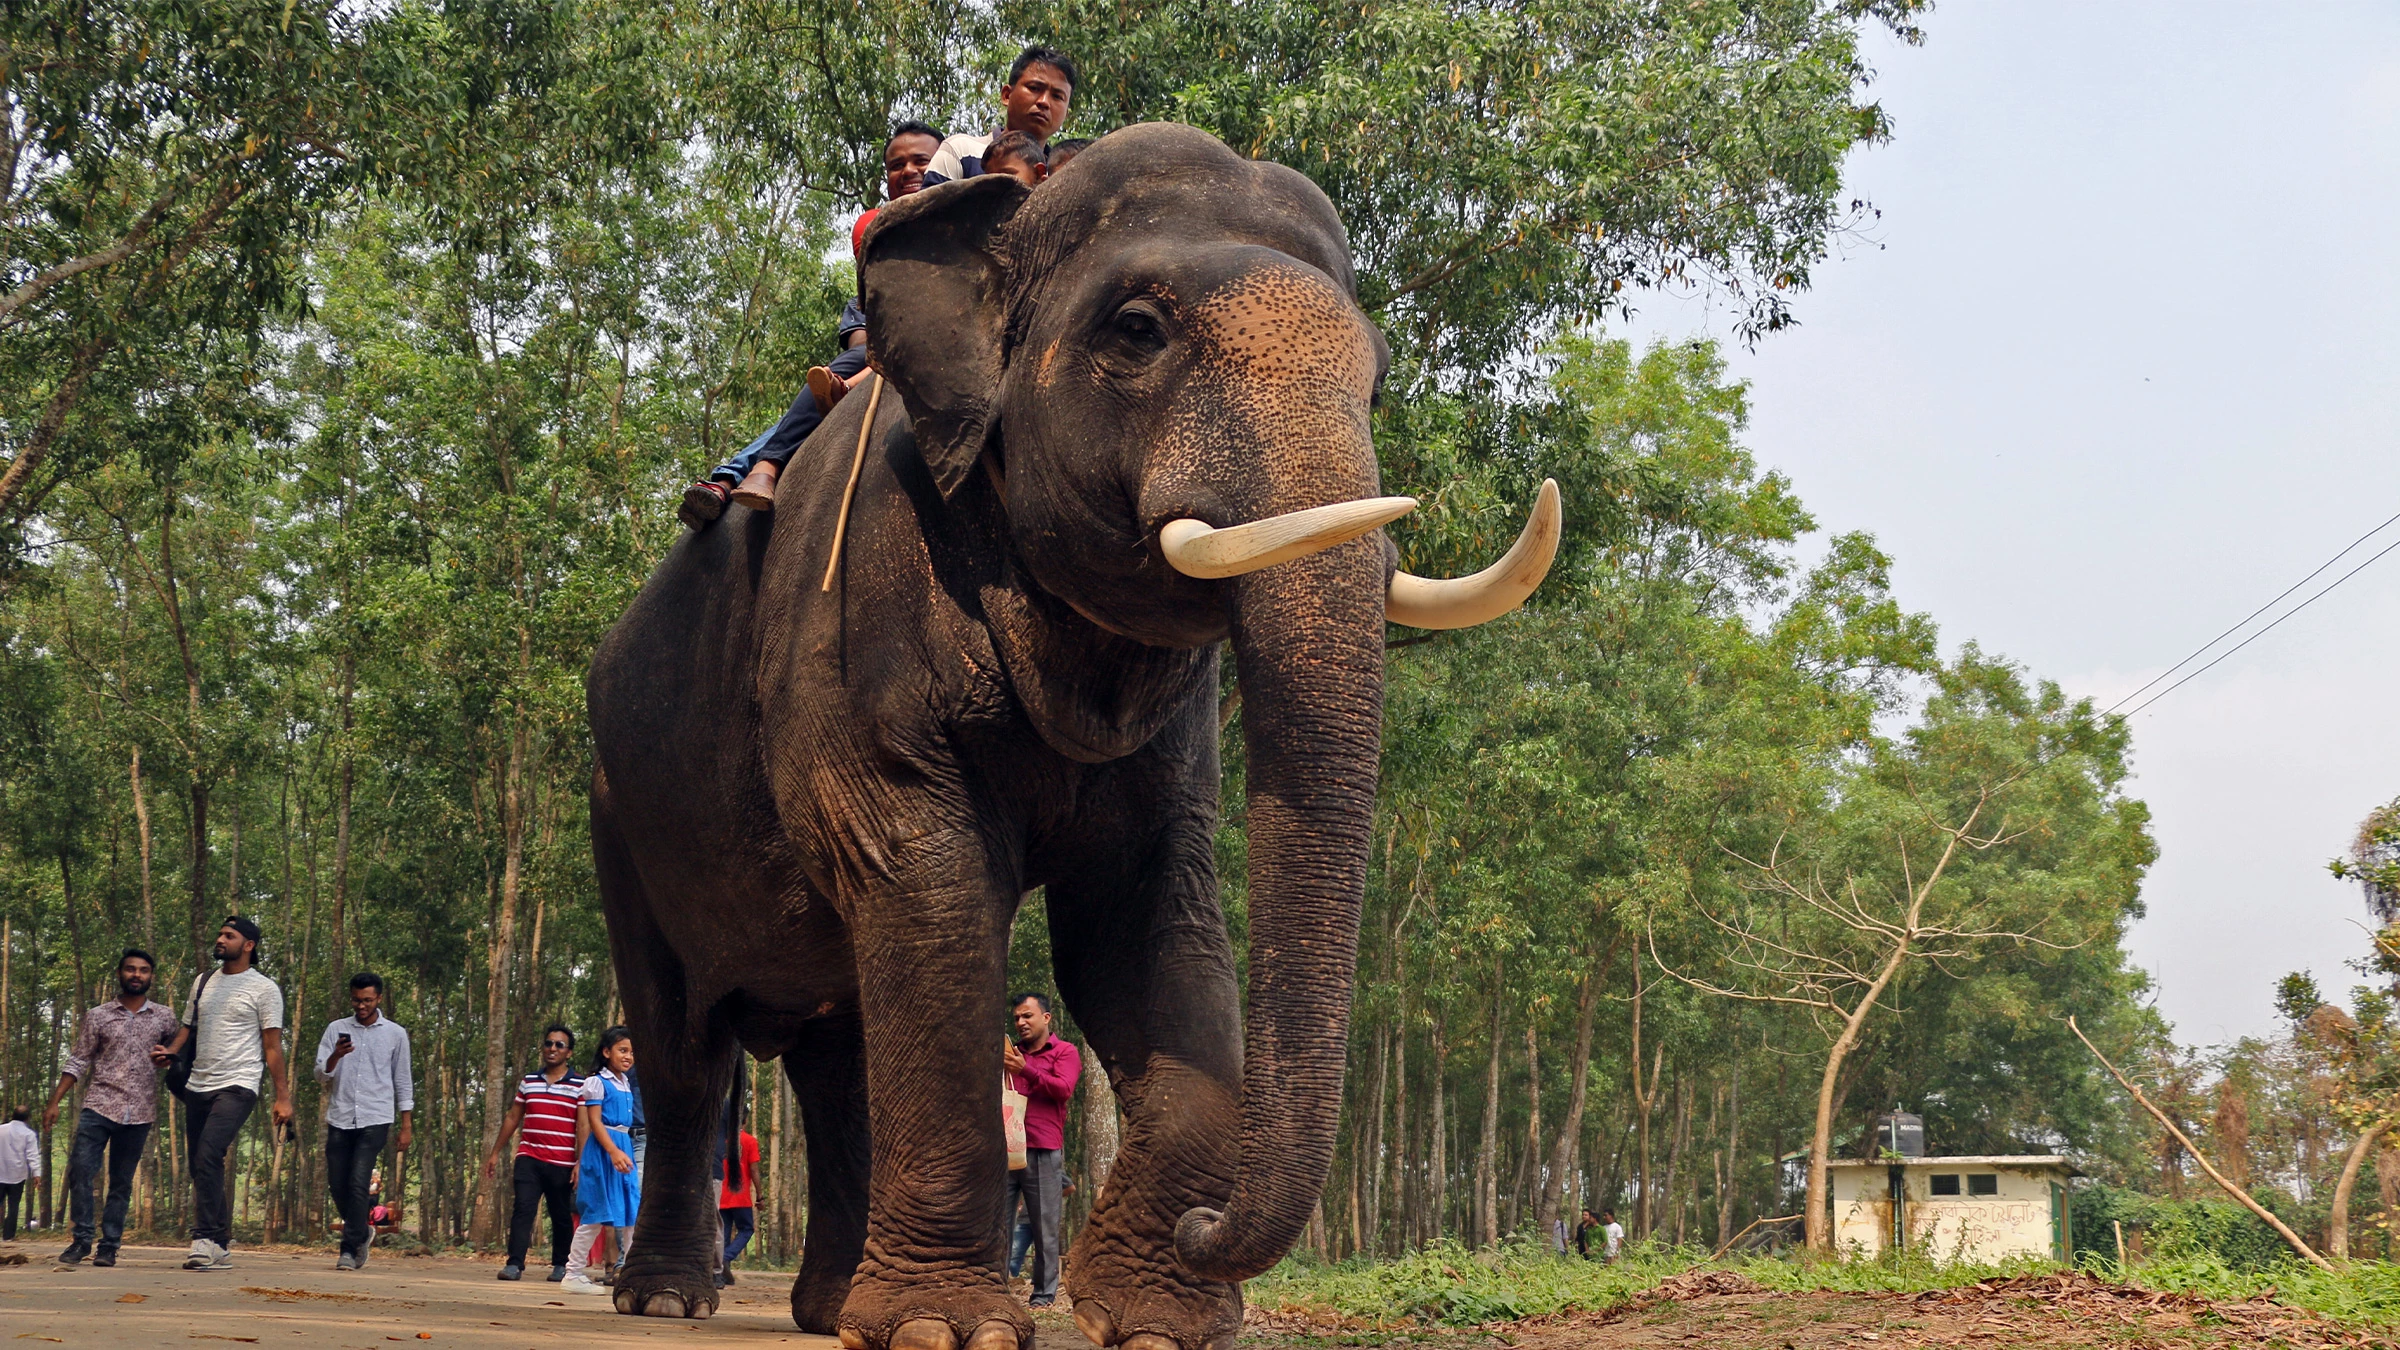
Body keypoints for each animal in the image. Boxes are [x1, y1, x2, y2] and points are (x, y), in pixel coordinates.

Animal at [578, 123, 1555, 1345]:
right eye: (1138, 330)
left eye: (1375, 381)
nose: (1207, 1227)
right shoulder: (850, 622)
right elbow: (928, 879)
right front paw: (949, 1329)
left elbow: (1146, 913)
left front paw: (1156, 1317)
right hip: (618, 810)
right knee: (683, 1052)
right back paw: (668, 1295)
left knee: (834, 1047)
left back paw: (830, 1306)